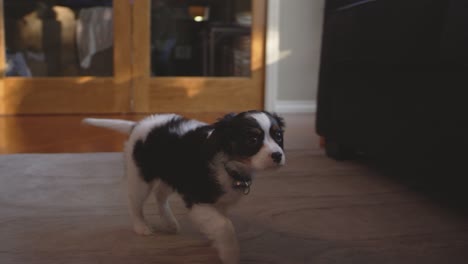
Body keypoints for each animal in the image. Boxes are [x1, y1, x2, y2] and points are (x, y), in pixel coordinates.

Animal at [82, 110, 286, 262]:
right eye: (252, 139)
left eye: (278, 136)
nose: (277, 155)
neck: (229, 165)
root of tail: (138, 125)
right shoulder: (196, 200)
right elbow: (224, 225)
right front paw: (230, 254)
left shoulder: (218, 201)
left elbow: (218, 220)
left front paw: (215, 241)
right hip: (140, 177)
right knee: (135, 202)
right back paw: (141, 227)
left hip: (171, 175)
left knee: (160, 195)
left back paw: (169, 223)